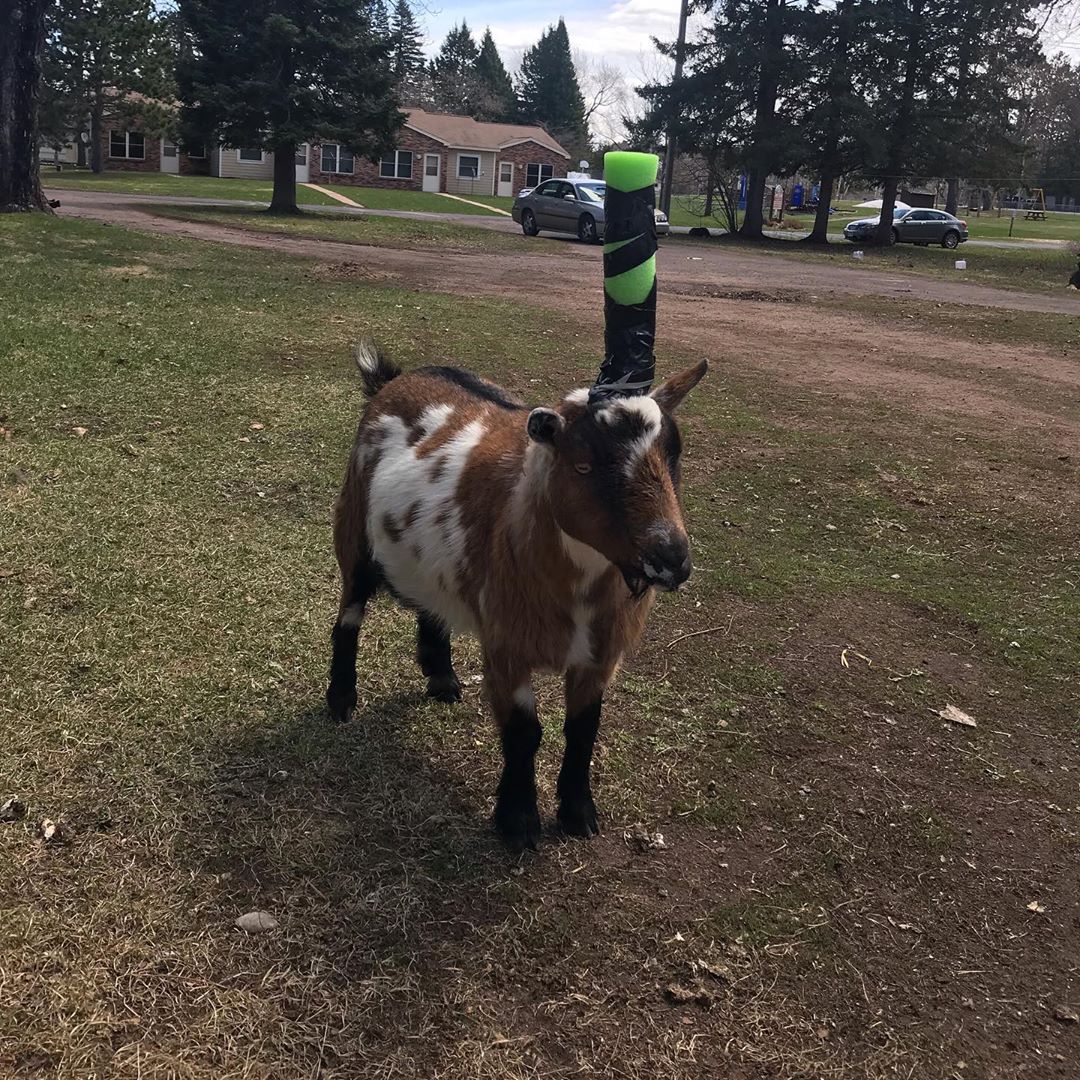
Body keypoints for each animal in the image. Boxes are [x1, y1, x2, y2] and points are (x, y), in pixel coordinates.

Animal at [324, 345, 704, 851]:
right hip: (354, 532)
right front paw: (518, 822)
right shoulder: (507, 646)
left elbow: (583, 729)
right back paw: (342, 699)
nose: (671, 559)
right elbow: (525, 732)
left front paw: (579, 814)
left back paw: (442, 679)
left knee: (431, 602)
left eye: (675, 456)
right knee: (349, 614)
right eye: (583, 465)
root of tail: (395, 379)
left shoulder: (600, 656)